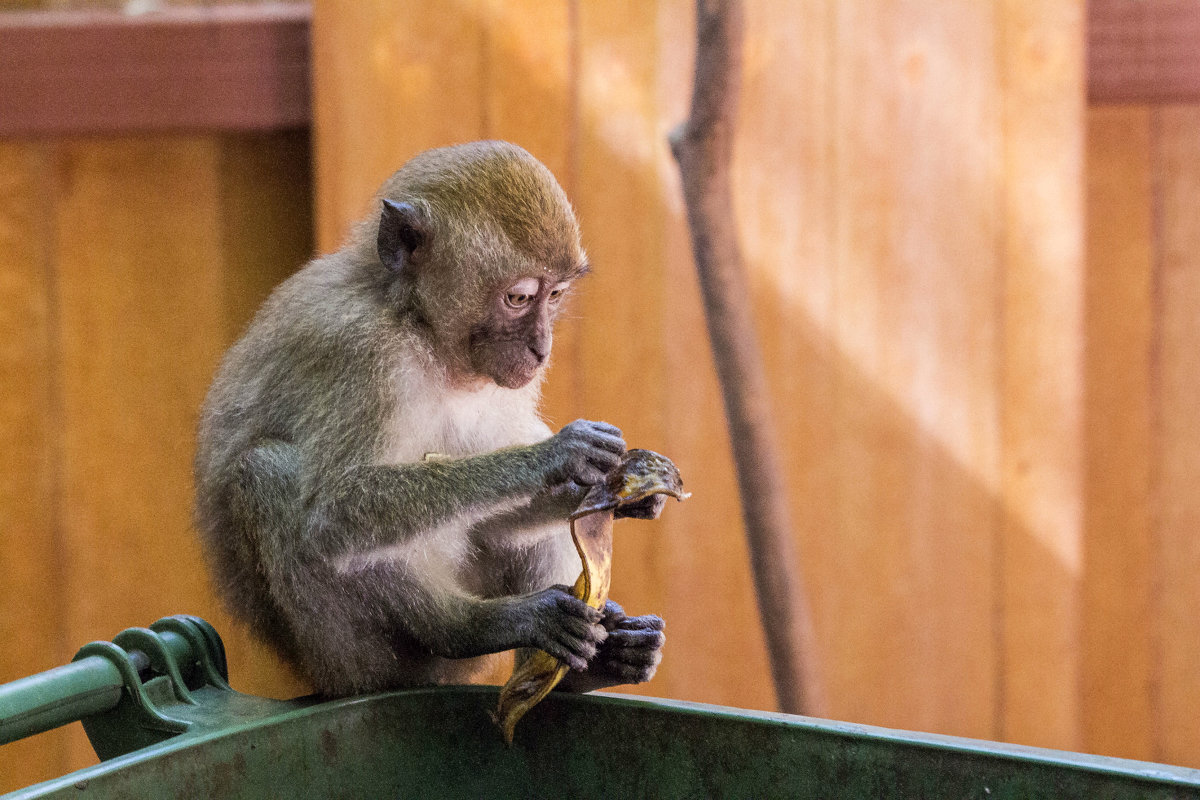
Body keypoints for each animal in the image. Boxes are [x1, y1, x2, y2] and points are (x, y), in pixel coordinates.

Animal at [195, 140, 667, 695]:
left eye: (554, 296)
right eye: (519, 298)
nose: (541, 350)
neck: (416, 324)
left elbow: (496, 522)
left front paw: (610, 490)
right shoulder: (363, 352)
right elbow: (333, 513)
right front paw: (553, 457)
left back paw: (587, 665)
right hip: (347, 660)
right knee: (265, 472)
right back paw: (471, 626)